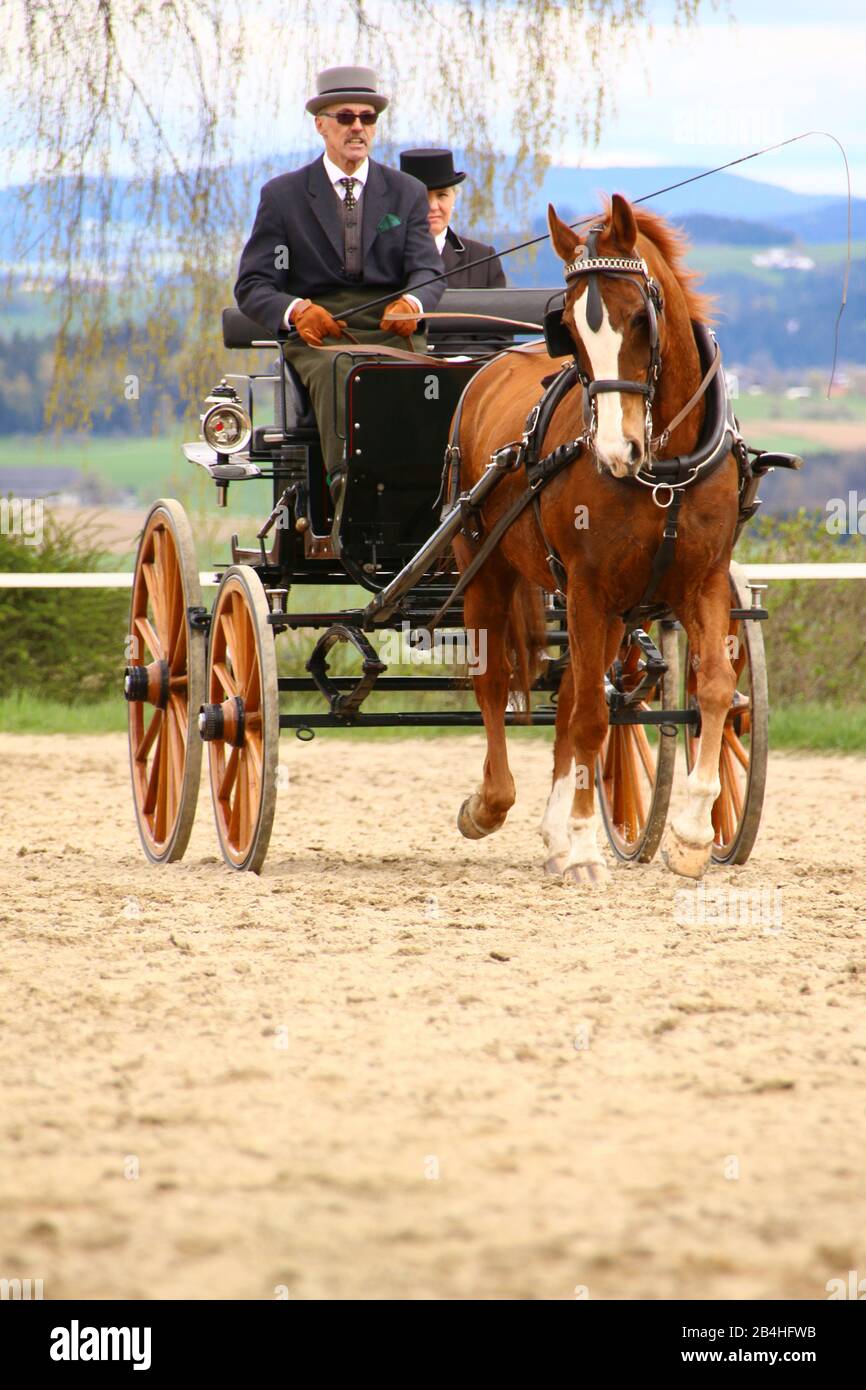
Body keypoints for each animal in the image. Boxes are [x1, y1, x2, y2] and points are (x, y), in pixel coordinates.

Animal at [453, 191, 739, 884]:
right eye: (572, 333)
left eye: (640, 319)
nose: (614, 452)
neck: (664, 472)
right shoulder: (585, 586)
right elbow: (587, 715)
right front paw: (585, 846)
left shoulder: (704, 579)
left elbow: (715, 687)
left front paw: (692, 835)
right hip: (488, 568)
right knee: (497, 684)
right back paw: (491, 804)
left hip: (610, 610)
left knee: (573, 696)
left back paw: (556, 834)